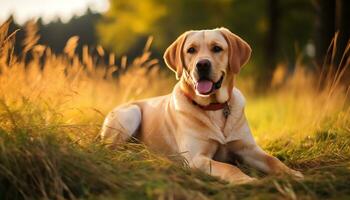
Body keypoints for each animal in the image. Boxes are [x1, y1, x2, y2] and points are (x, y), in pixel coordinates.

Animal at [100, 27, 302, 184]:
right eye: (191, 50)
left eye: (217, 48)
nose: (202, 64)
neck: (215, 107)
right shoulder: (197, 158)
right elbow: (229, 167)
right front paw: (245, 179)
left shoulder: (249, 149)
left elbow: (273, 160)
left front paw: (294, 174)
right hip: (131, 113)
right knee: (111, 150)